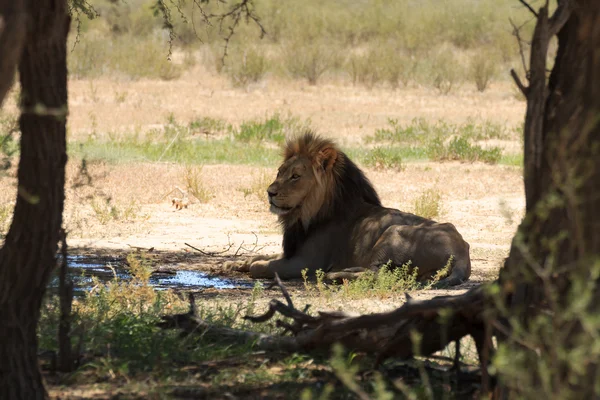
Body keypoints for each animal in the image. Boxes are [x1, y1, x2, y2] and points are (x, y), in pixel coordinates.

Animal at [227, 132, 472, 288]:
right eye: (280, 171)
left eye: (295, 176)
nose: (270, 192)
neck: (303, 213)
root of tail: (461, 253)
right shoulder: (292, 252)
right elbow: (259, 256)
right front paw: (232, 263)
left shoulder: (304, 262)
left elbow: (260, 266)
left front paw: (249, 265)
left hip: (393, 232)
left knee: (378, 275)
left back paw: (334, 274)